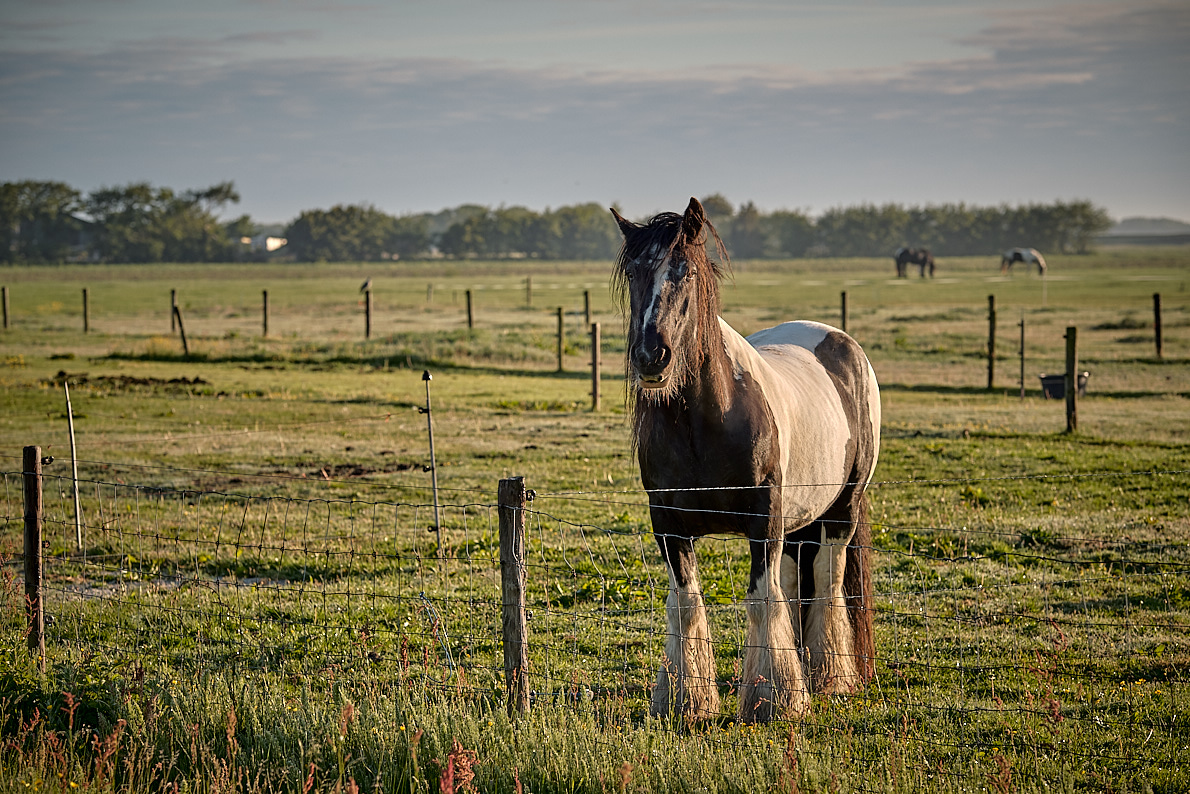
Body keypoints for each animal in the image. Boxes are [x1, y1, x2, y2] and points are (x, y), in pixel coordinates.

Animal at [614, 199, 885, 728]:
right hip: (800, 521)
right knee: (798, 582)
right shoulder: (668, 526)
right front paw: (686, 700)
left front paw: (773, 698)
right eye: (634, 271)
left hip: (842, 510)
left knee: (828, 581)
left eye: (685, 270)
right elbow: (686, 605)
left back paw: (829, 677)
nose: (652, 356)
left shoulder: (764, 522)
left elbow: (761, 602)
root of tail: (842, 343)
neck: (705, 421)